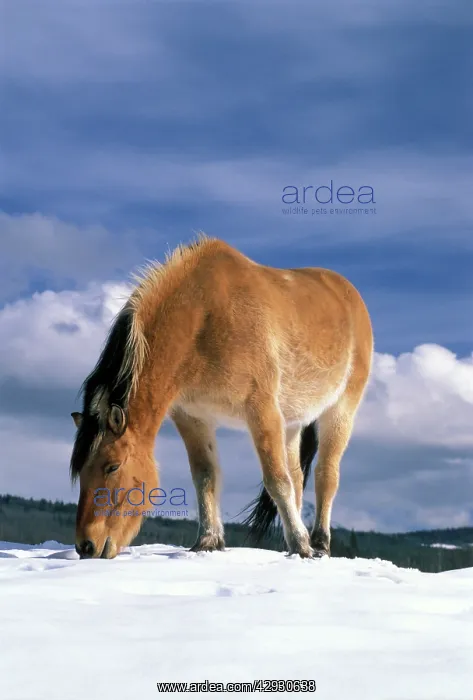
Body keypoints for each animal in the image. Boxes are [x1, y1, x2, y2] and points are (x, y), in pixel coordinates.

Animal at [70, 235, 373, 559]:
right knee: (297, 477)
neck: (204, 318)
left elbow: (276, 480)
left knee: (325, 476)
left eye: (112, 466)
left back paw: (317, 543)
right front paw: (208, 541)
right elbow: (206, 477)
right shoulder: (193, 417)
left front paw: (302, 547)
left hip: (340, 412)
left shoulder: (262, 411)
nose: (86, 546)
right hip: (292, 423)